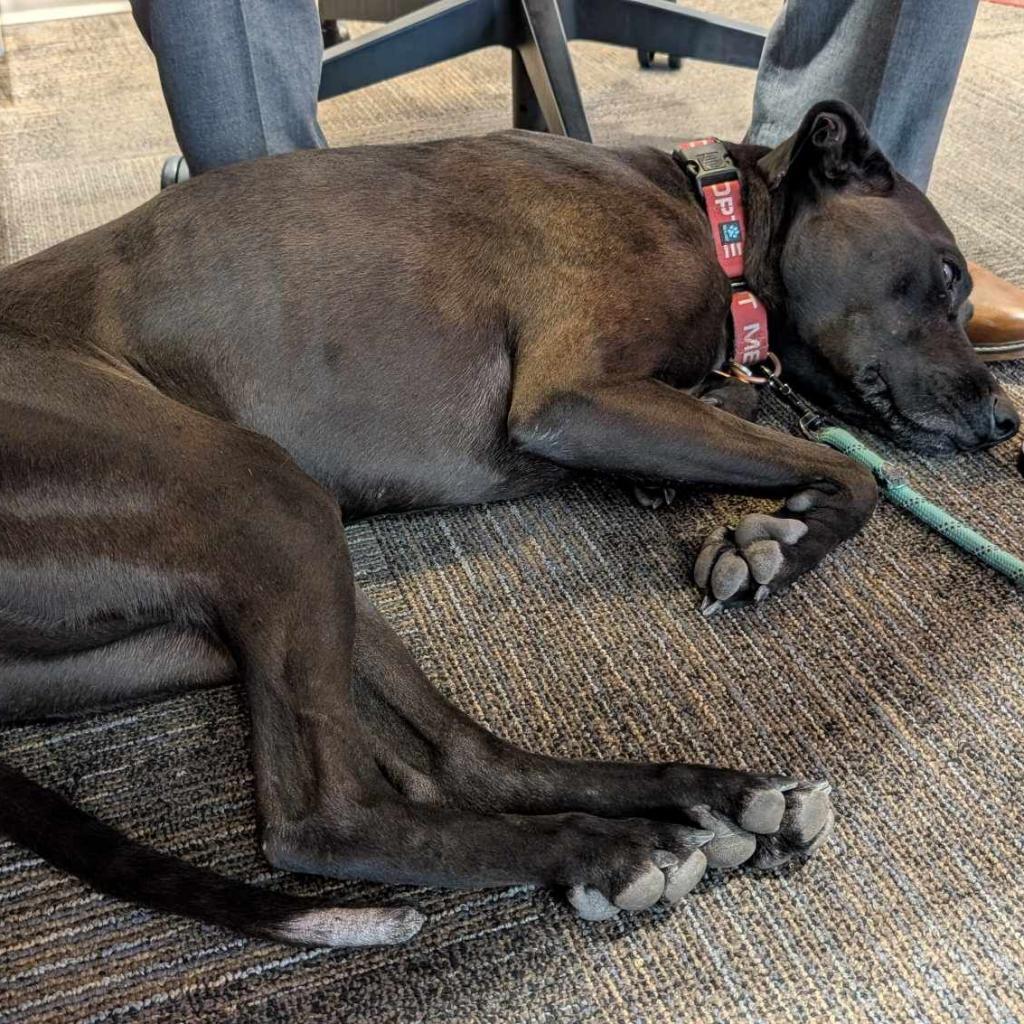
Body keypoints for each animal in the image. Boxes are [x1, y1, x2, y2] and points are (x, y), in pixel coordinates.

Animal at [0, 99, 1015, 946]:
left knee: (466, 761)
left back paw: (711, 799)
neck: (710, 216)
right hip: (262, 493)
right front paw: (775, 539)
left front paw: (714, 500)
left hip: (281, 579)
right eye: (945, 277)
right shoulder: (577, 395)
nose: (1006, 420)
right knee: (326, 817)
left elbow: (760, 419)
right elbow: (856, 469)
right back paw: (608, 849)